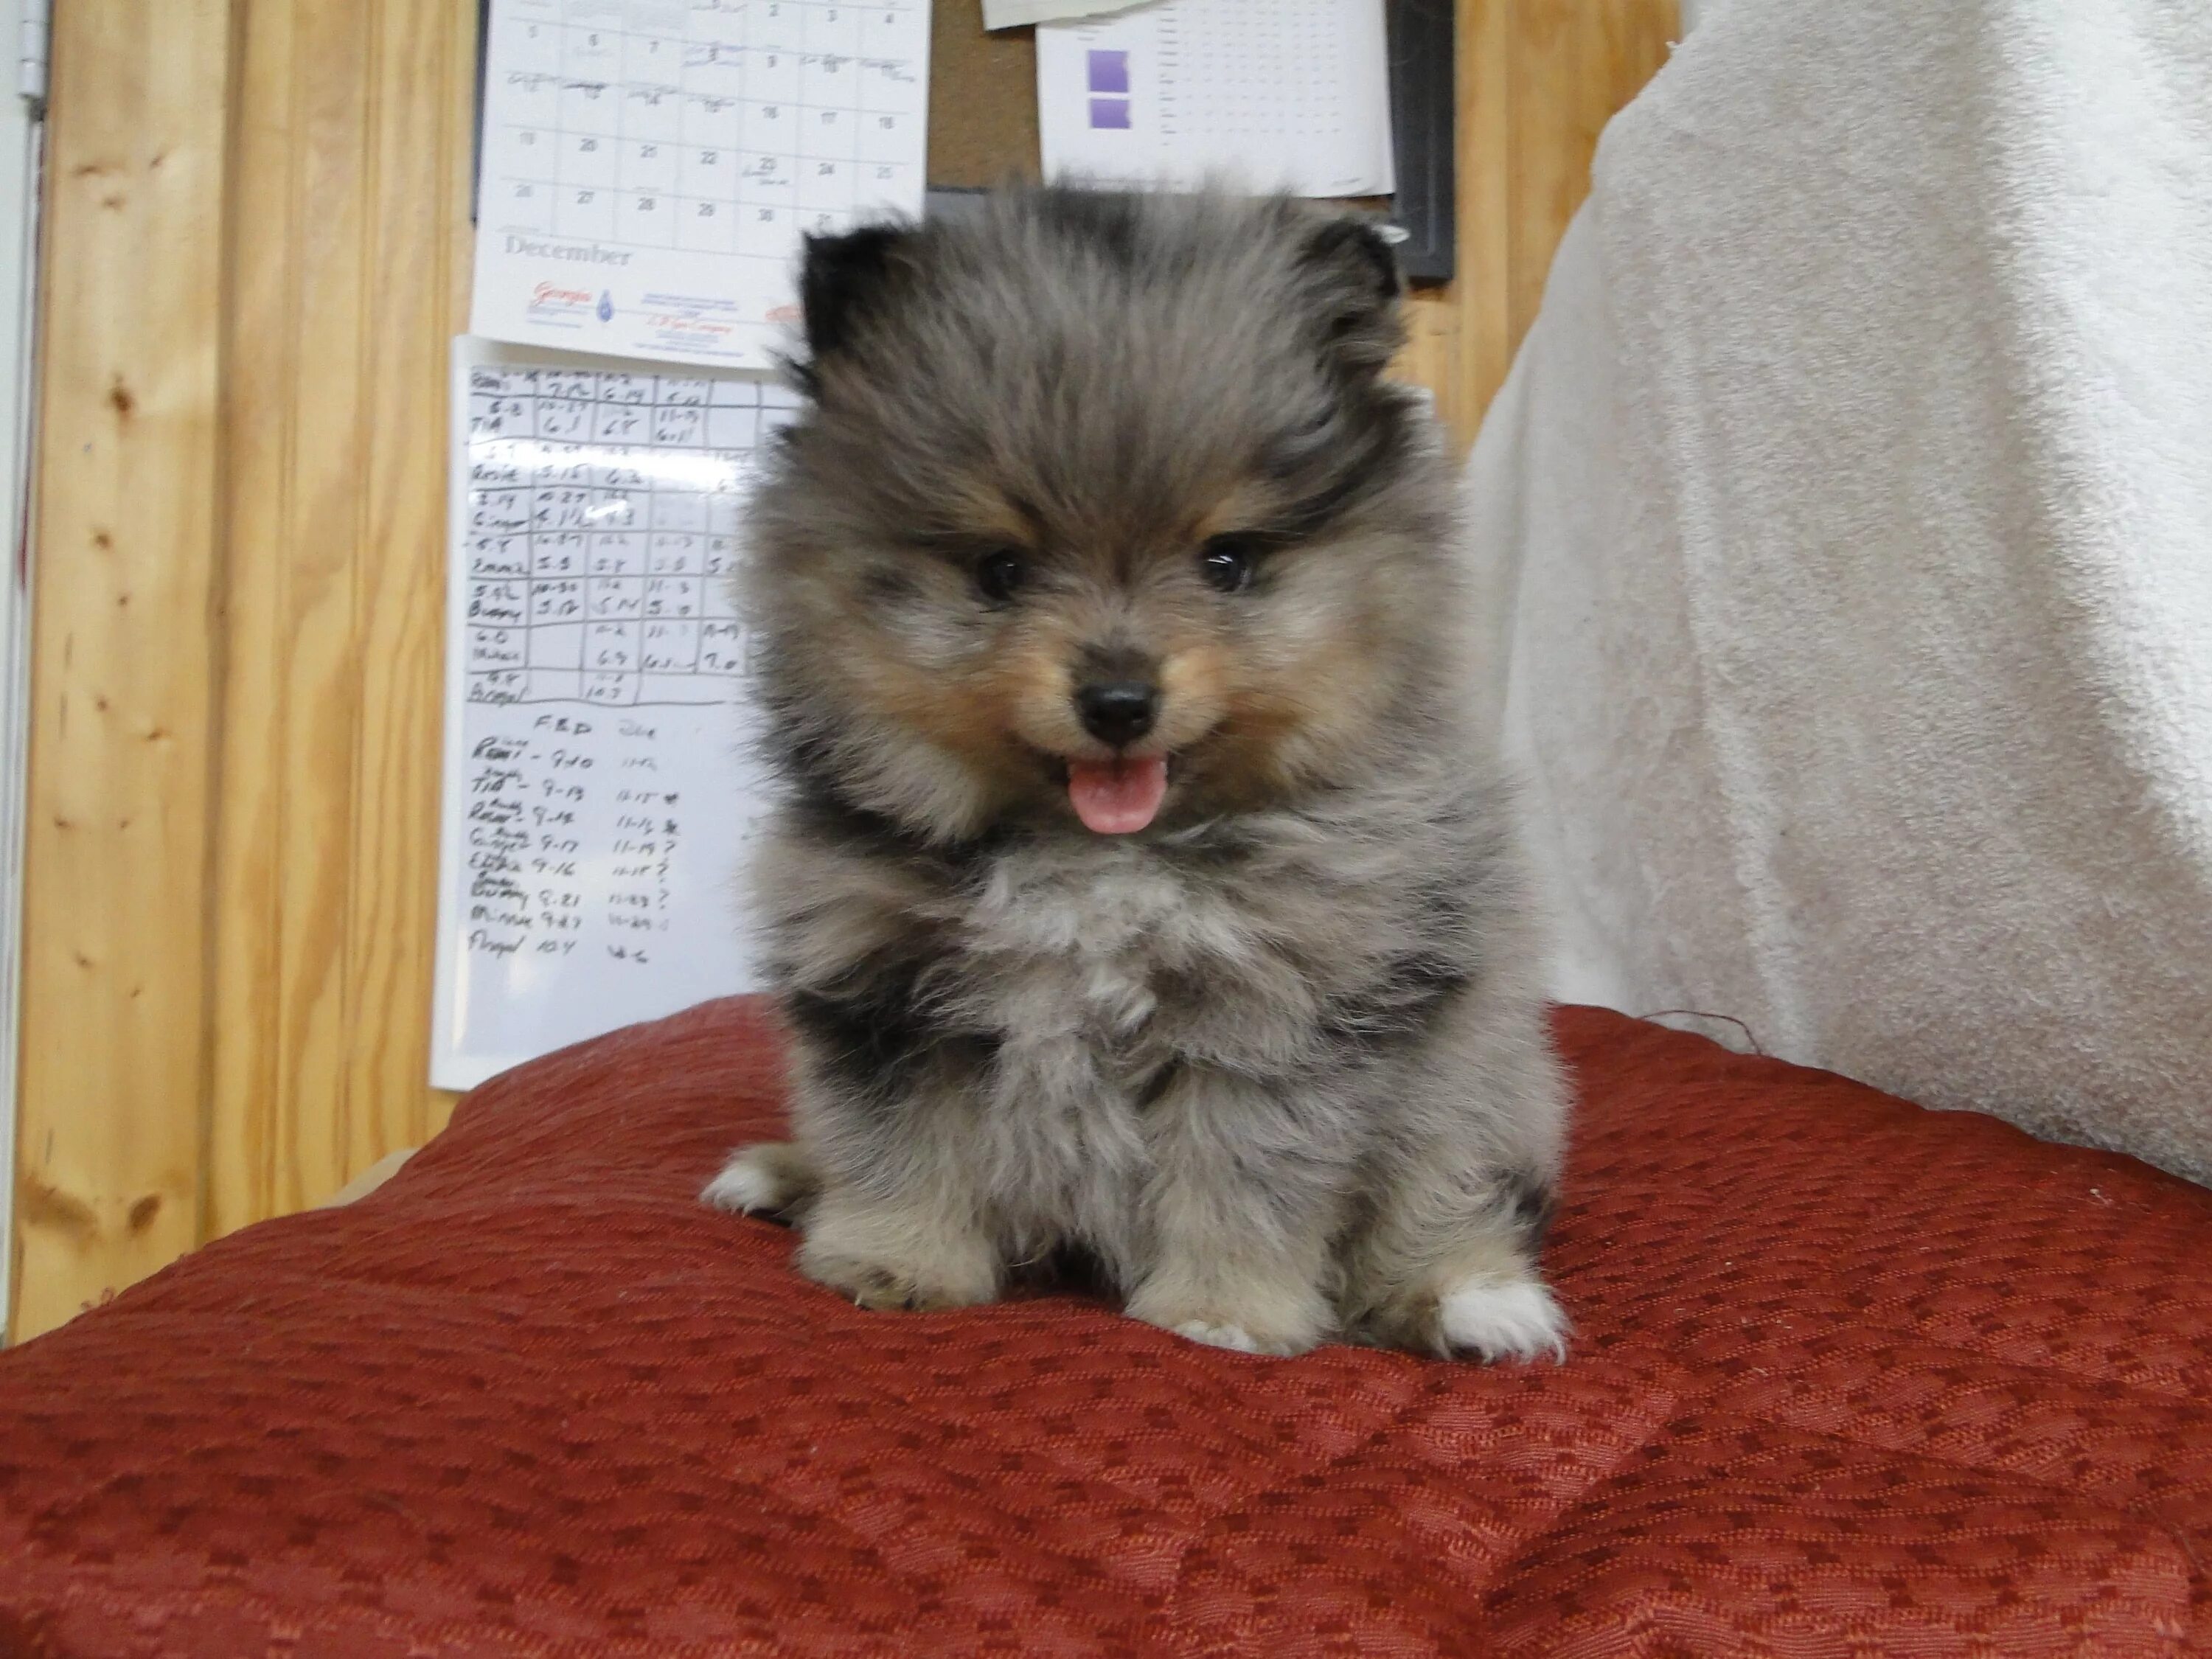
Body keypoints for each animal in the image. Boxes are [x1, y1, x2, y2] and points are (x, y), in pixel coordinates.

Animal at [699, 184, 1566, 1363]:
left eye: (1227, 562)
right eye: (1000, 569)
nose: (1118, 700)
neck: (1099, 857)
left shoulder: (1277, 1008)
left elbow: (1244, 1173)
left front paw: (1223, 1310)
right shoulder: (882, 981)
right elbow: (903, 1144)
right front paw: (895, 1261)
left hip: (1475, 1071)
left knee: (1444, 1198)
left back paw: (1471, 1298)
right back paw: (785, 1175)